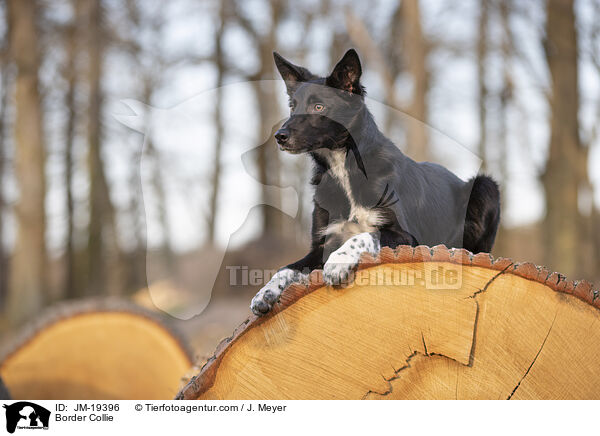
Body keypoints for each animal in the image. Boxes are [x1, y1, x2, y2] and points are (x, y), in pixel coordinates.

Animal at [250, 50, 502, 316]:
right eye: (292, 106)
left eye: (319, 106)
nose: (280, 137)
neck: (345, 168)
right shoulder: (321, 244)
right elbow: (286, 268)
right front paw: (265, 291)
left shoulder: (405, 235)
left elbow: (364, 234)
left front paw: (339, 260)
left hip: (485, 186)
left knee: (476, 248)